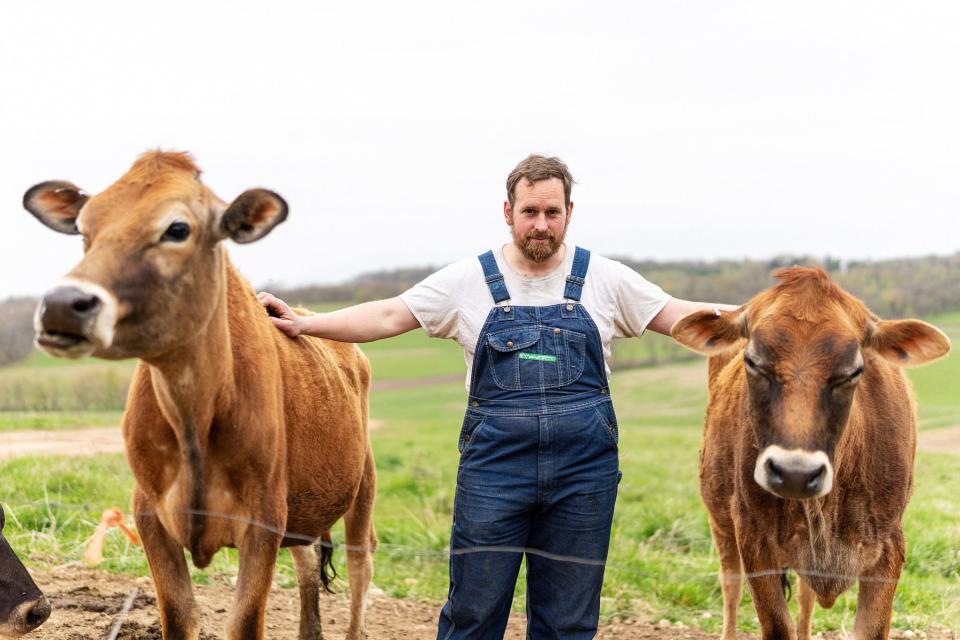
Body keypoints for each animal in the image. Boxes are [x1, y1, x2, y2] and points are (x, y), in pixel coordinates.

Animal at [22, 151, 376, 640]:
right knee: (307, 563)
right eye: (85, 229)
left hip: (363, 484)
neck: (194, 412)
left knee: (361, 566)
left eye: (177, 229)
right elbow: (179, 615)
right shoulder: (150, 515)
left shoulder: (263, 519)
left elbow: (244, 623)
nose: (61, 305)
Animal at [672, 266, 948, 640]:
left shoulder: (888, 548)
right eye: (753, 362)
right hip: (720, 517)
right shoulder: (753, 538)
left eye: (853, 371)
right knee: (731, 583)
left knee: (804, 597)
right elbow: (775, 623)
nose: (795, 473)